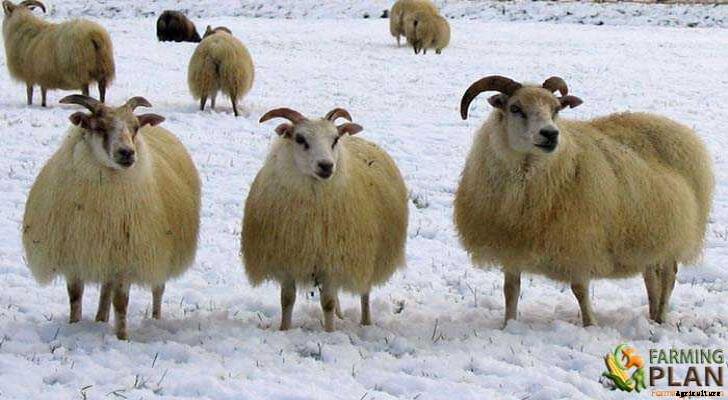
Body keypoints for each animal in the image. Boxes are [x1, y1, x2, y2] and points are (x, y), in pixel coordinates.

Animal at [22, 94, 201, 340]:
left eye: (135, 127)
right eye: (99, 126)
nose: (127, 153)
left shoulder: (125, 260)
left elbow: (121, 304)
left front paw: (122, 337)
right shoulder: (74, 256)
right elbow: (75, 297)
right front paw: (74, 325)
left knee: (157, 289)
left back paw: (154, 319)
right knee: (106, 288)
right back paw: (100, 318)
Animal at [241, 107, 409, 332]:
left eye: (335, 139)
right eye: (300, 138)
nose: (326, 165)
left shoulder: (334, 261)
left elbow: (327, 303)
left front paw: (329, 332)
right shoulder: (288, 261)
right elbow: (287, 300)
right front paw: (284, 329)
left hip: (367, 255)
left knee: (364, 291)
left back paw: (365, 321)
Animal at [454, 75, 713, 327]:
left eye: (556, 109)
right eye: (515, 108)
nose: (551, 134)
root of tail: (677, 128)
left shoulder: (579, 241)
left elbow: (579, 289)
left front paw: (590, 325)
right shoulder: (510, 244)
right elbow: (510, 290)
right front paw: (508, 325)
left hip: (676, 227)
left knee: (669, 276)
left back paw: (659, 318)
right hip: (648, 232)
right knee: (651, 276)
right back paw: (651, 316)